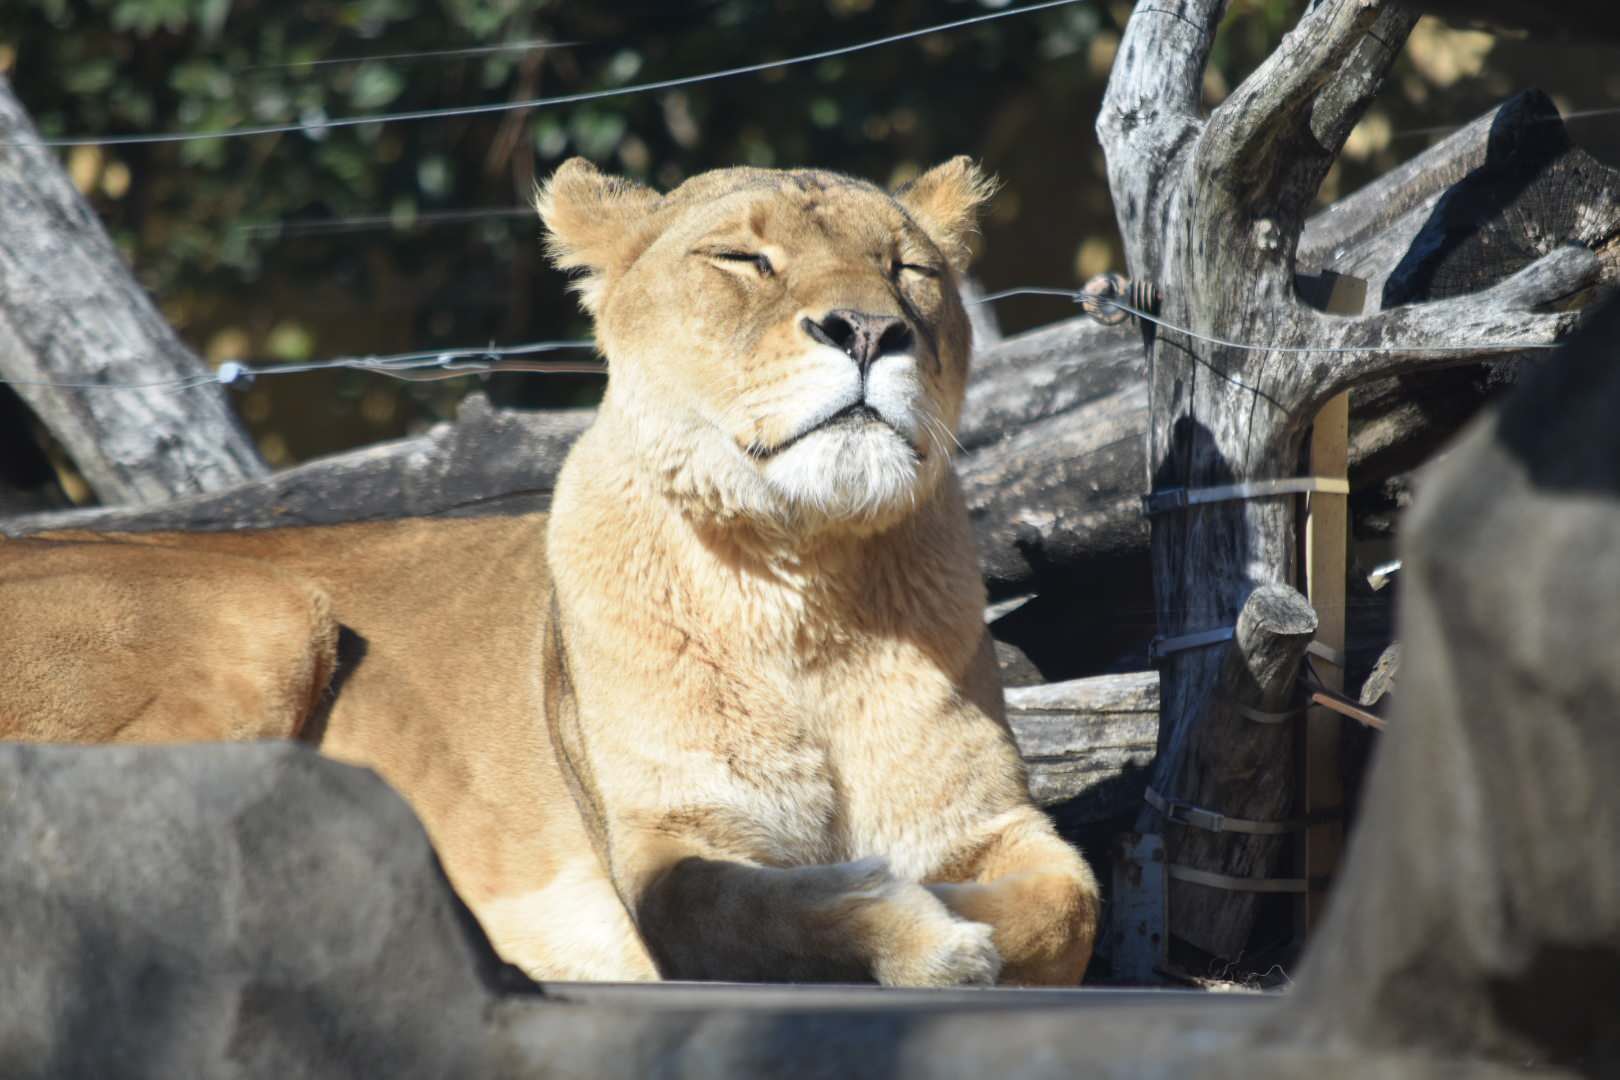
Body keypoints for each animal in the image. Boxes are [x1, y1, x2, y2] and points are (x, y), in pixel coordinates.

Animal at [0, 157, 1100, 986]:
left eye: (908, 268)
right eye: (744, 258)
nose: (872, 330)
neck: (805, 582)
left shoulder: (996, 824)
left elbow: (1070, 902)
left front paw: (950, 910)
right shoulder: (665, 850)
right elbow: (761, 907)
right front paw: (917, 927)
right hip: (262, 610)